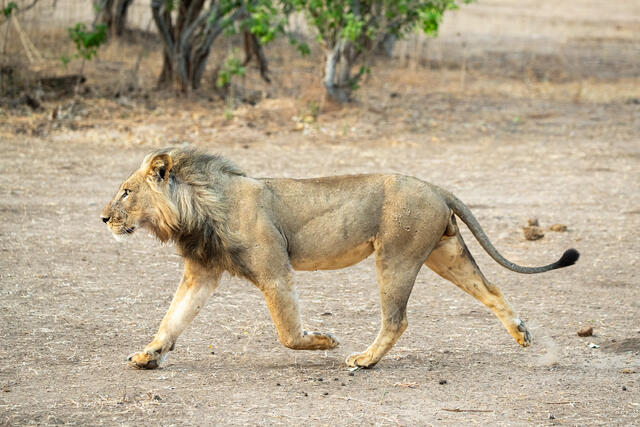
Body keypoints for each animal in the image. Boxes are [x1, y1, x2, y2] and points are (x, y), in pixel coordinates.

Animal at [101, 147, 579, 369]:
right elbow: (173, 318)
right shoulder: (202, 272)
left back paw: (364, 360)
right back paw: (521, 334)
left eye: (125, 191)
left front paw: (325, 341)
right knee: (491, 288)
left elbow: (288, 333)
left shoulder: (275, 270)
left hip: (396, 256)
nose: (103, 217)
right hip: (445, 254)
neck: (197, 208)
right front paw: (149, 355)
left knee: (397, 319)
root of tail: (437, 187)